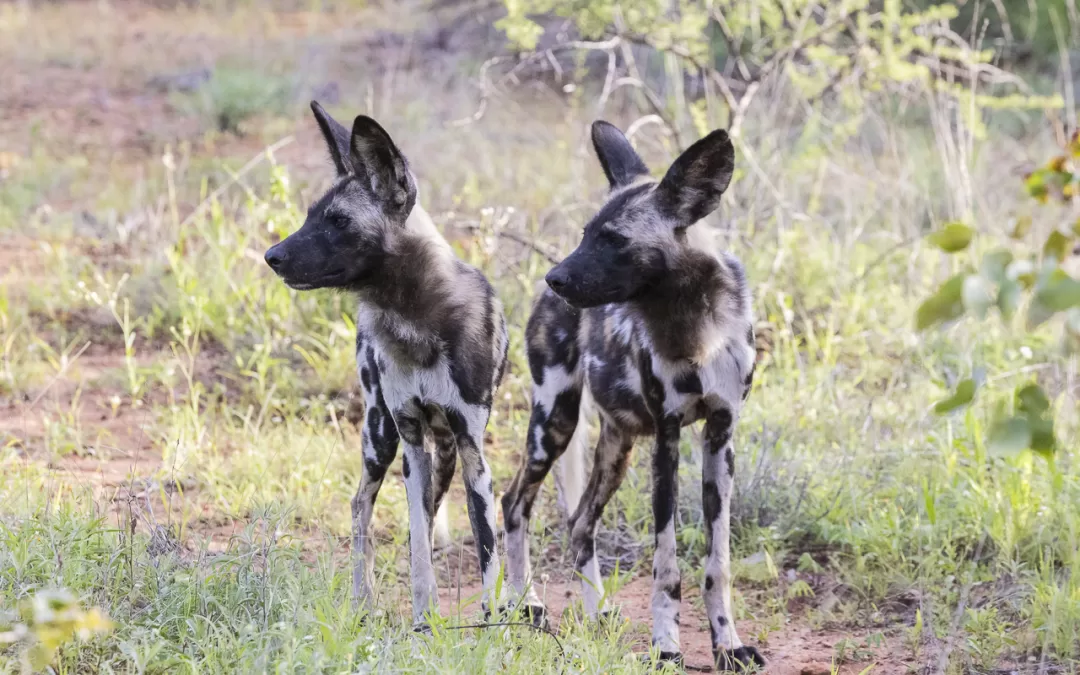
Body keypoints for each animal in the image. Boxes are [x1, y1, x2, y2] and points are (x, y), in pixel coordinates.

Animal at [267, 102, 507, 622]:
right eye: (310, 216)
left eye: (339, 221)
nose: (271, 255)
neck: (415, 321)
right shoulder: (409, 435)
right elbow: (417, 551)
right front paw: (423, 622)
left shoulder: (470, 447)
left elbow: (486, 548)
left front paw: (498, 623)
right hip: (380, 436)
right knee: (362, 505)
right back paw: (363, 603)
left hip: (444, 454)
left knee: (431, 515)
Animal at [501, 120, 764, 669]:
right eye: (585, 234)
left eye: (614, 239)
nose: (555, 278)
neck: (694, 328)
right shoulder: (667, 439)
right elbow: (667, 568)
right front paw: (666, 648)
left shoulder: (720, 437)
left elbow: (718, 565)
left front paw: (728, 645)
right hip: (553, 424)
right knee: (514, 503)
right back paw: (525, 605)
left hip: (616, 448)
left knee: (580, 523)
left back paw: (597, 612)